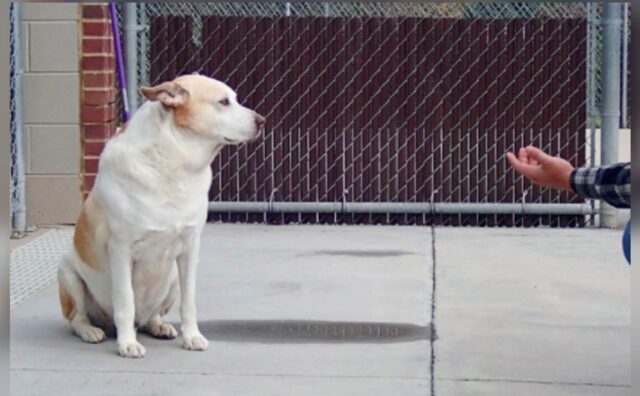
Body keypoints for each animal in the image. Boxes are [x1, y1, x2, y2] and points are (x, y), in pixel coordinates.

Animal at [57, 74, 262, 358]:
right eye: (223, 102)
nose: (261, 121)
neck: (173, 162)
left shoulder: (189, 249)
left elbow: (189, 303)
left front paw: (192, 337)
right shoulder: (121, 250)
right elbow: (125, 302)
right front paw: (127, 344)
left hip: (172, 277)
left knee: (151, 317)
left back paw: (159, 327)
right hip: (68, 273)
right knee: (77, 318)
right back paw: (91, 331)